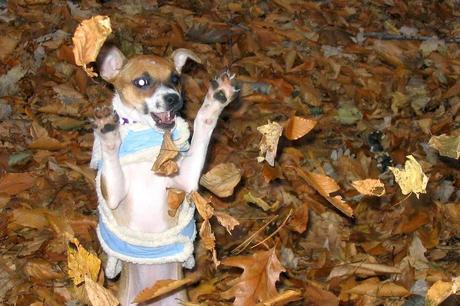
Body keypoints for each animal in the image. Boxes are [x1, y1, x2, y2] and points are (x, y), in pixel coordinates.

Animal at [90, 46, 237, 306]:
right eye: (141, 82)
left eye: (176, 79)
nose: (173, 98)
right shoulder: (113, 193)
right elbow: (111, 155)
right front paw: (108, 132)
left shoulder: (185, 180)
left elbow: (204, 125)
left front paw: (216, 99)